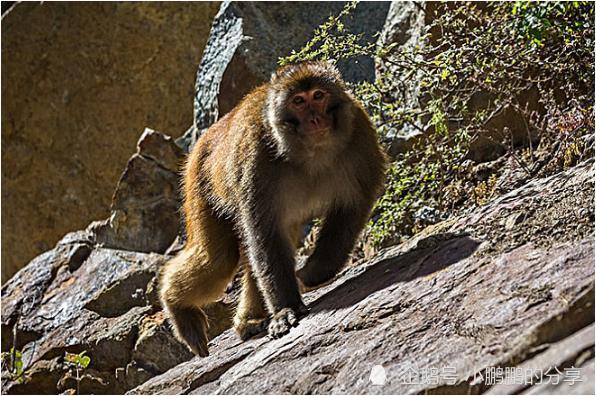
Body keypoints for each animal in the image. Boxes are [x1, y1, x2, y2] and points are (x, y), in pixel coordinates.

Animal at [159, 61, 386, 356]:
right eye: (298, 101)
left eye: (318, 96)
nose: (315, 120)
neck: (310, 152)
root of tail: (210, 132)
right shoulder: (256, 162)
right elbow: (263, 234)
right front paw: (285, 309)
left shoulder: (360, 137)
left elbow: (351, 208)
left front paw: (315, 272)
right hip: (199, 183)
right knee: (218, 260)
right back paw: (177, 305)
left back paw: (248, 320)